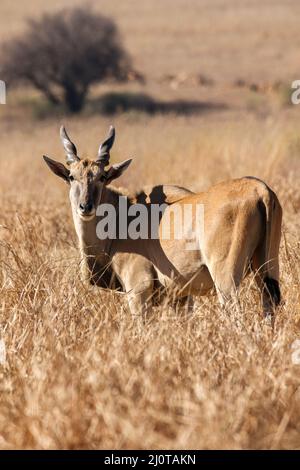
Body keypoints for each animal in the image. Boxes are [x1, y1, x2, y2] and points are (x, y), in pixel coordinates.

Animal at [43, 126, 282, 322]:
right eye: (72, 177)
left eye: (102, 177)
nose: (85, 206)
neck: (122, 217)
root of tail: (260, 190)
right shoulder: (180, 297)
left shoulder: (138, 290)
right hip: (267, 269)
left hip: (226, 279)